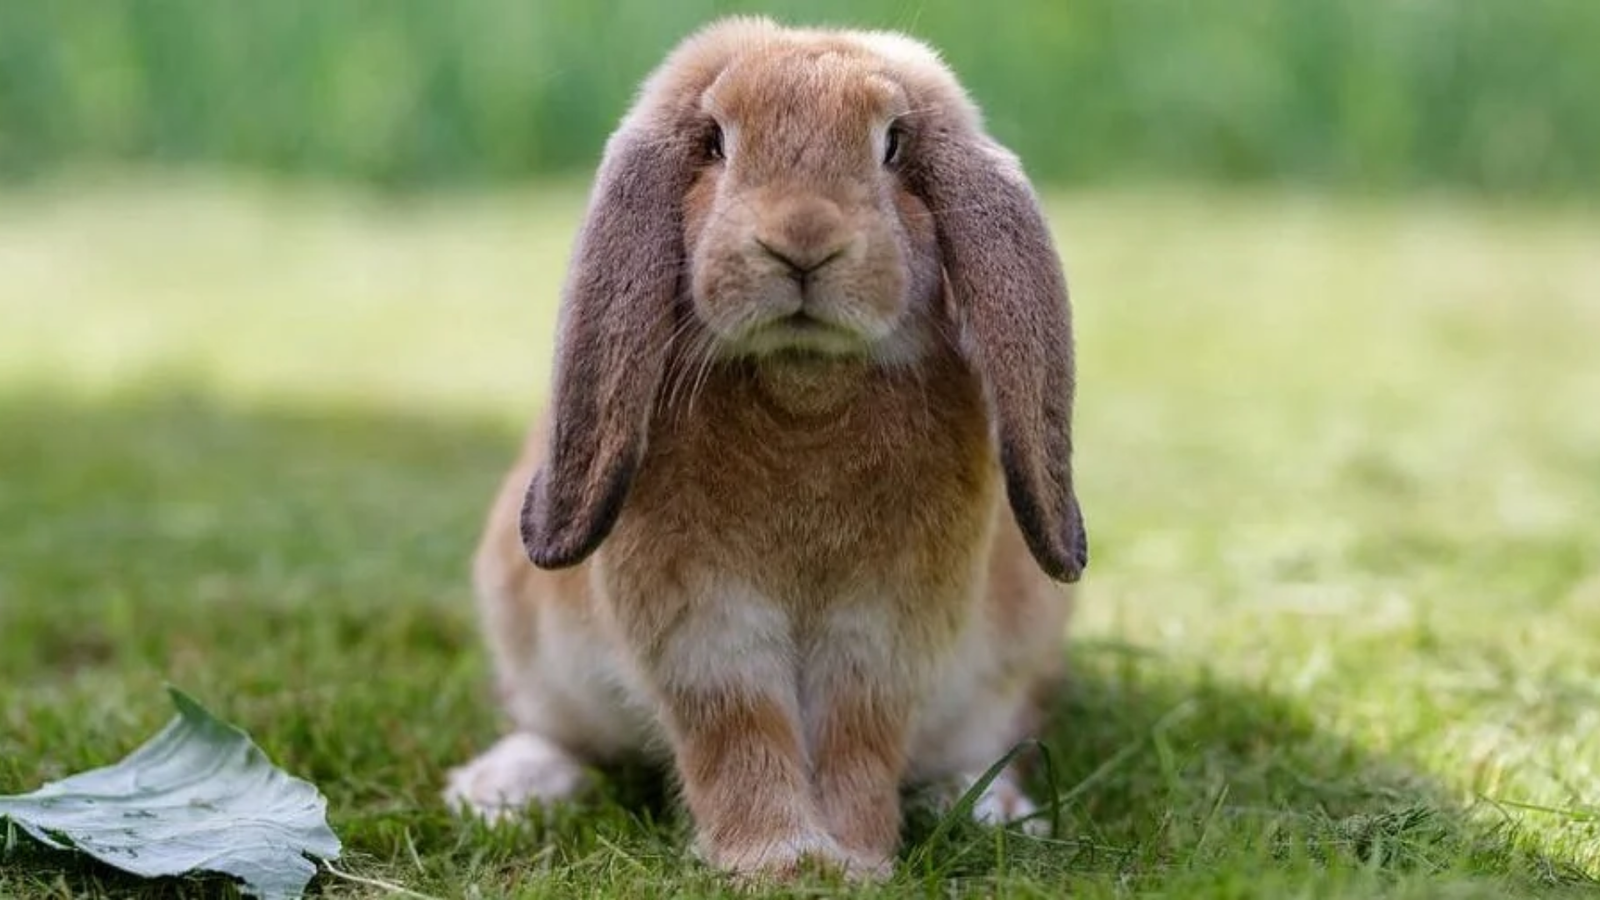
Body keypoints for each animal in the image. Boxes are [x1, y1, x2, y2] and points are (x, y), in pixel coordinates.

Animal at [444, 15, 1088, 881]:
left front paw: (850, 862)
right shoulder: (706, 628)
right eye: (715, 142)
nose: (802, 240)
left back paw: (997, 811)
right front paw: (779, 860)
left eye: (893, 145)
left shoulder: (886, 633)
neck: (803, 389)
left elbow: (858, 737)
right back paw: (499, 793)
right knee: (559, 733)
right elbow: (737, 730)